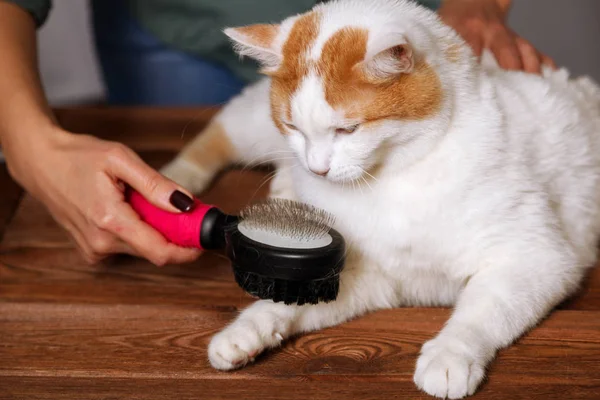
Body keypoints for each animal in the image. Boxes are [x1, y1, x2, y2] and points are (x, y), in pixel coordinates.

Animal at [159, 0, 600, 396]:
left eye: (348, 129)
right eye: (293, 127)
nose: (317, 169)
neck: (391, 179)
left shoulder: (533, 258)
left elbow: (481, 311)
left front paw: (451, 354)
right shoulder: (354, 269)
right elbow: (284, 300)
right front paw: (248, 328)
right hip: (255, 132)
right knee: (220, 133)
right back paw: (174, 182)